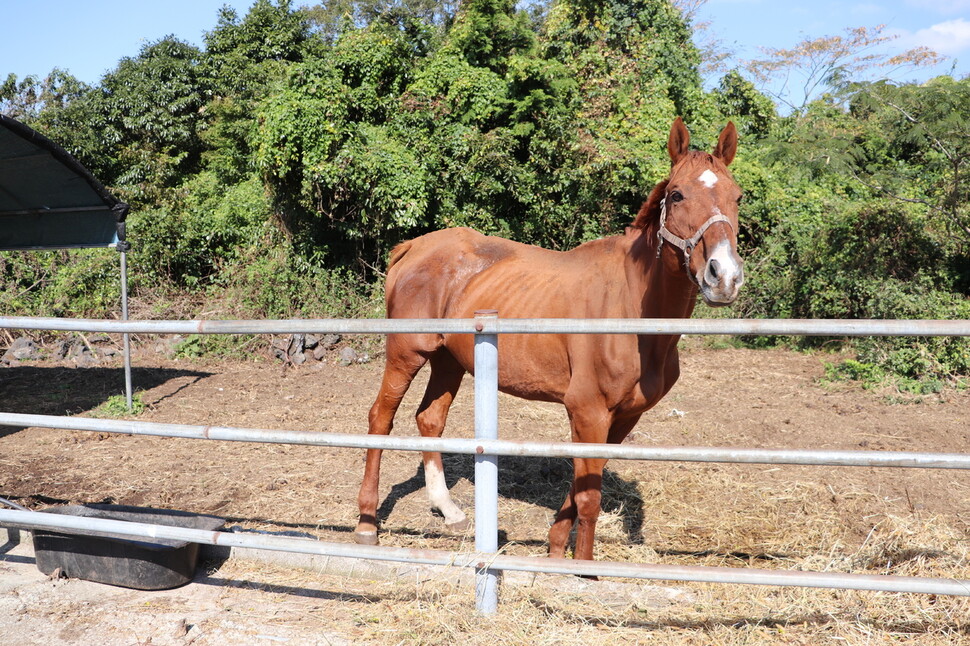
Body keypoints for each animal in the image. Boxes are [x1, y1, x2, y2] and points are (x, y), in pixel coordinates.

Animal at [356, 119, 740, 564]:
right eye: (677, 194)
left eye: (737, 197)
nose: (724, 276)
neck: (631, 310)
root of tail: (412, 247)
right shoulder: (588, 411)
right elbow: (589, 499)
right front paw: (582, 570)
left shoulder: (621, 418)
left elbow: (581, 487)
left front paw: (556, 548)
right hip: (407, 353)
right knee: (380, 419)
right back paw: (366, 523)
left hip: (449, 360)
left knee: (429, 420)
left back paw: (449, 510)